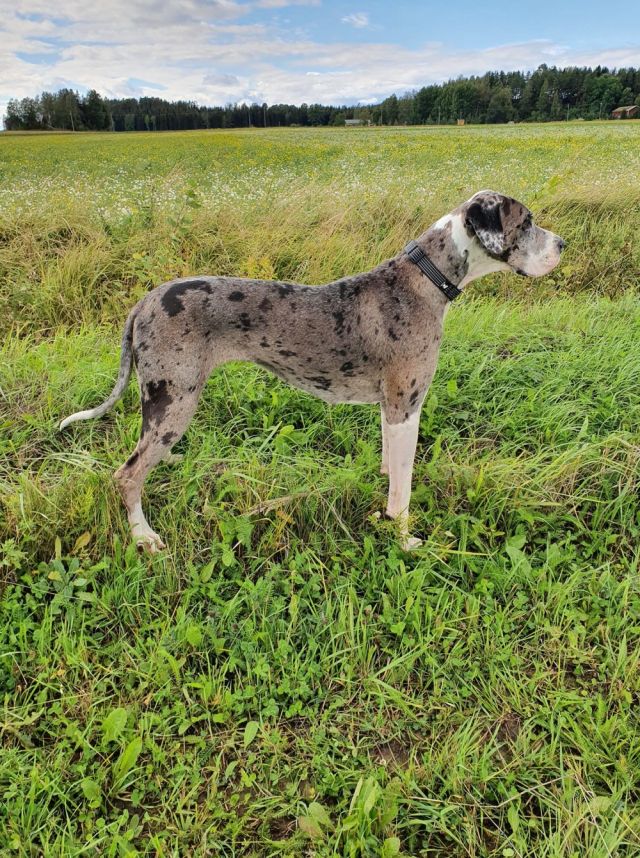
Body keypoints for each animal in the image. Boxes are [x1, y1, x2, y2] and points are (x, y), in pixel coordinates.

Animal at [60, 190, 565, 552]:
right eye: (526, 222)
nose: (563, 244)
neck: (426, 278)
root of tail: (143, 303)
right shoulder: (406, 406)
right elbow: (403, 493)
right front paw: (404, 540)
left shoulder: (390, 410)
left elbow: (390, 466)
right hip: (175, 398)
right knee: (126, 475)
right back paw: (143, 536)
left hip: (167, 404)